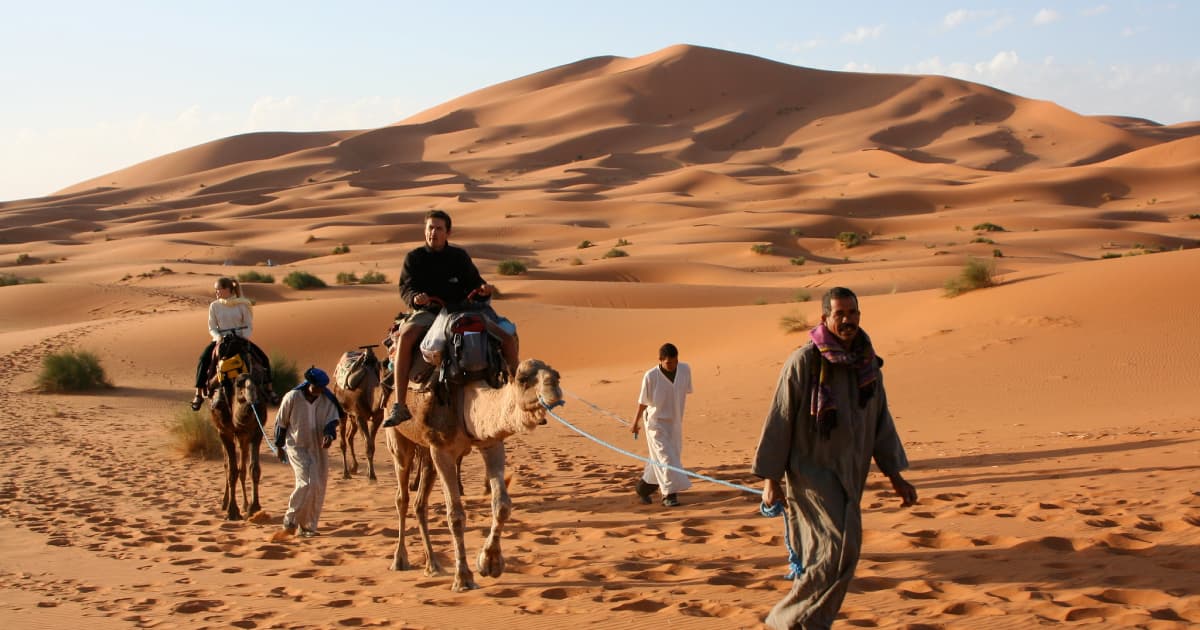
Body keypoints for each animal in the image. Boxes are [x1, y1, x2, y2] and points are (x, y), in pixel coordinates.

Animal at [331, 345, 381, 480]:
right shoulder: (361, 416)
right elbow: (368, 445)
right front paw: (371, 475)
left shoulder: (377, 417)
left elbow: (371, 445)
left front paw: (370, 472)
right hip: (343, 412)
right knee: (343, 441)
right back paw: (346, 473)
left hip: (352, 416)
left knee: (349, 436)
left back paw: (354, 467)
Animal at [388, 357, 566, 590]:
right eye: (522, 379)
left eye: (556, 373)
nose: (554, 385)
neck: (466, 403)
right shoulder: (442, 450)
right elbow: (455, 515)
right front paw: (463, 578)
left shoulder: (490, 442)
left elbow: (502, 505)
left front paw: (490, 563)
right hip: (399, 441)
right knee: (402, 498)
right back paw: (400, 560)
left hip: (427, 452)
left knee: (420, 504)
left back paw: (433, 565)